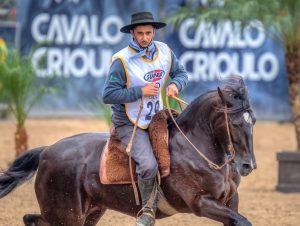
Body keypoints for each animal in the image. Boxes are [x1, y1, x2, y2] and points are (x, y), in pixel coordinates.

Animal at [0, 77, 255, 225]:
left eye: (252, 121)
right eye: (234, 123)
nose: (248, 165)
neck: (196, 147)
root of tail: (46, 152)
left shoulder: (230, 200)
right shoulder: (201, 203)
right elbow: (244, 222)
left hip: (88, 213)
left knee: (31, 219)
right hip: (66, 215)